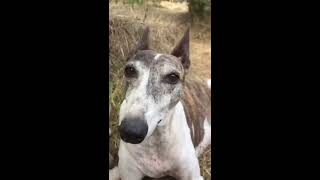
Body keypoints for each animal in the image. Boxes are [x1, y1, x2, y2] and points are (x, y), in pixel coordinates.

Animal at [109, 27, 211, 180]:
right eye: (129, 70)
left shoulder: (194, 176)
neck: (155, 142)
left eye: (173, 77)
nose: (130, 131)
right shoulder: (130, 174)